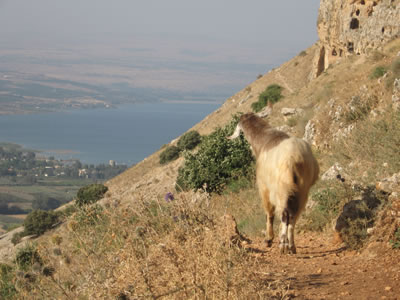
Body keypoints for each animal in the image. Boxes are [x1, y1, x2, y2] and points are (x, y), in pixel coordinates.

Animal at [228, 112, 318, 253]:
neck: (265, 140)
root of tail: (295, 158)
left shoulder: (264, 188)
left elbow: (269, 213)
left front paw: (268, 240)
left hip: (282, 189)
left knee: (284, 214)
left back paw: (283, 244)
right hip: (302, 189)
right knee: (294, 215)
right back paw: (291, 246)